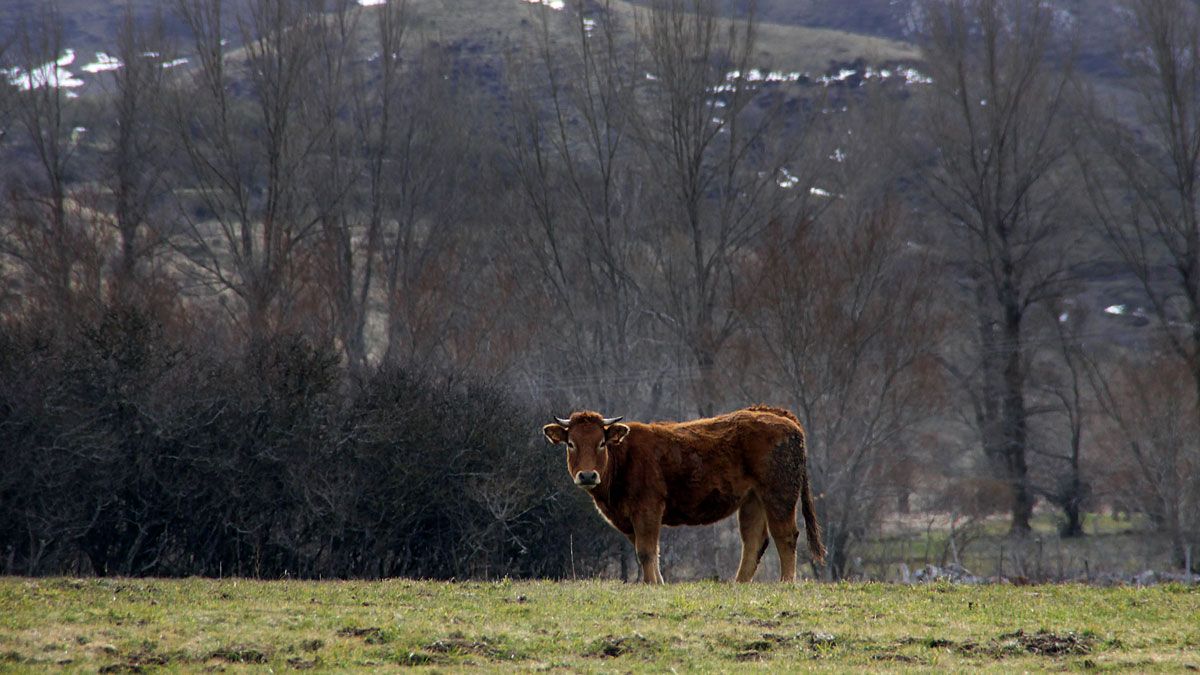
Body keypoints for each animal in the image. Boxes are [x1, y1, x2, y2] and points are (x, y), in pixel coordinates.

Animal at [544, 401, 825, 581]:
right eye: (571, 443)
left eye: (601, 443)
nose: (587, 475)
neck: (624, 457)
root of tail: (781, 416)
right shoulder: (631, 521)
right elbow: (647, 554)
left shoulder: (648, 510)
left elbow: (646, 552)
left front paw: (654, 585)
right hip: (752, 500)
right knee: (754, 541)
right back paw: (738, 584)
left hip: (779, 496)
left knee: (785, 536)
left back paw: (786, 583)